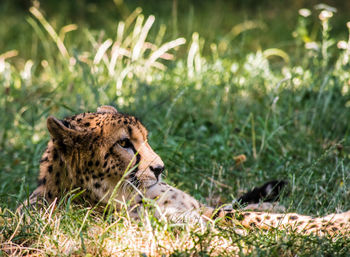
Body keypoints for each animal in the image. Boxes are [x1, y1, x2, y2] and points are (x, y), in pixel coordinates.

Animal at [23, 105, 350, 234]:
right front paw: (337, 224)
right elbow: (253, 219)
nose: (159, 168)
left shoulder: (199, 210)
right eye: (125, 143)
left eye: (145, 138)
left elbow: (242, 211)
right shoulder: (190, 220)